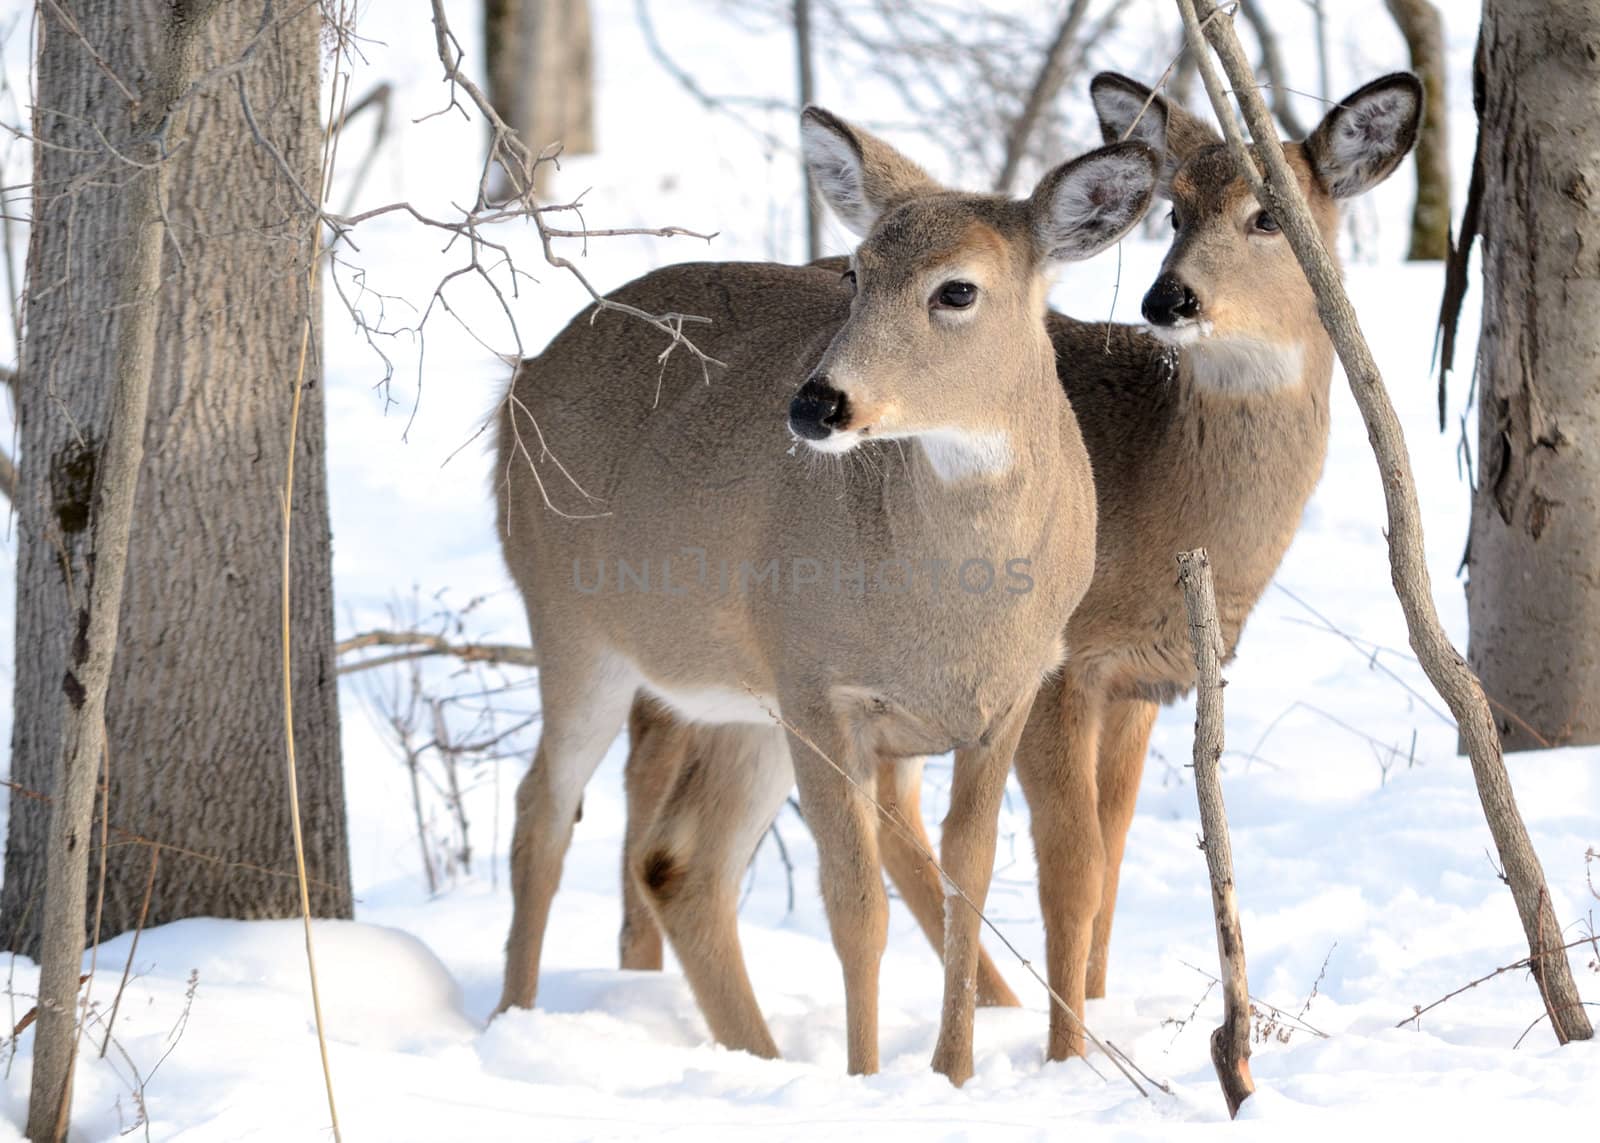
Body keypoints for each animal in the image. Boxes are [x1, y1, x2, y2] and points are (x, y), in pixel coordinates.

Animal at [489, 100, 1164, 1088]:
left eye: (956, 290)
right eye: (854, 272)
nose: (816, 404)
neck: (955, 606)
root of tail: (520, 383)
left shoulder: (1003, 702)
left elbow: (967, 881)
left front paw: (952, 1075)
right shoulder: (822, 686)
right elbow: (856, 907)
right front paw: (867, 1081)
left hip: (744, 696)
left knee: (680, 862)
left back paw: (758, 1058)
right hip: (575, 624)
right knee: (543, 808)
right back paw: (513, 1019)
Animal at [611, 71, 1427, 1056]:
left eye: (1270, 215)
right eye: (1174, 210)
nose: (1169, 300)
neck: (1160, 488)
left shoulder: (1144, 674)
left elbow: (1110, 854)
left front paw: (1095, 1014)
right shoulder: (1059, 668)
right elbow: (1071, 865)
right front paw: (1069, 1052)